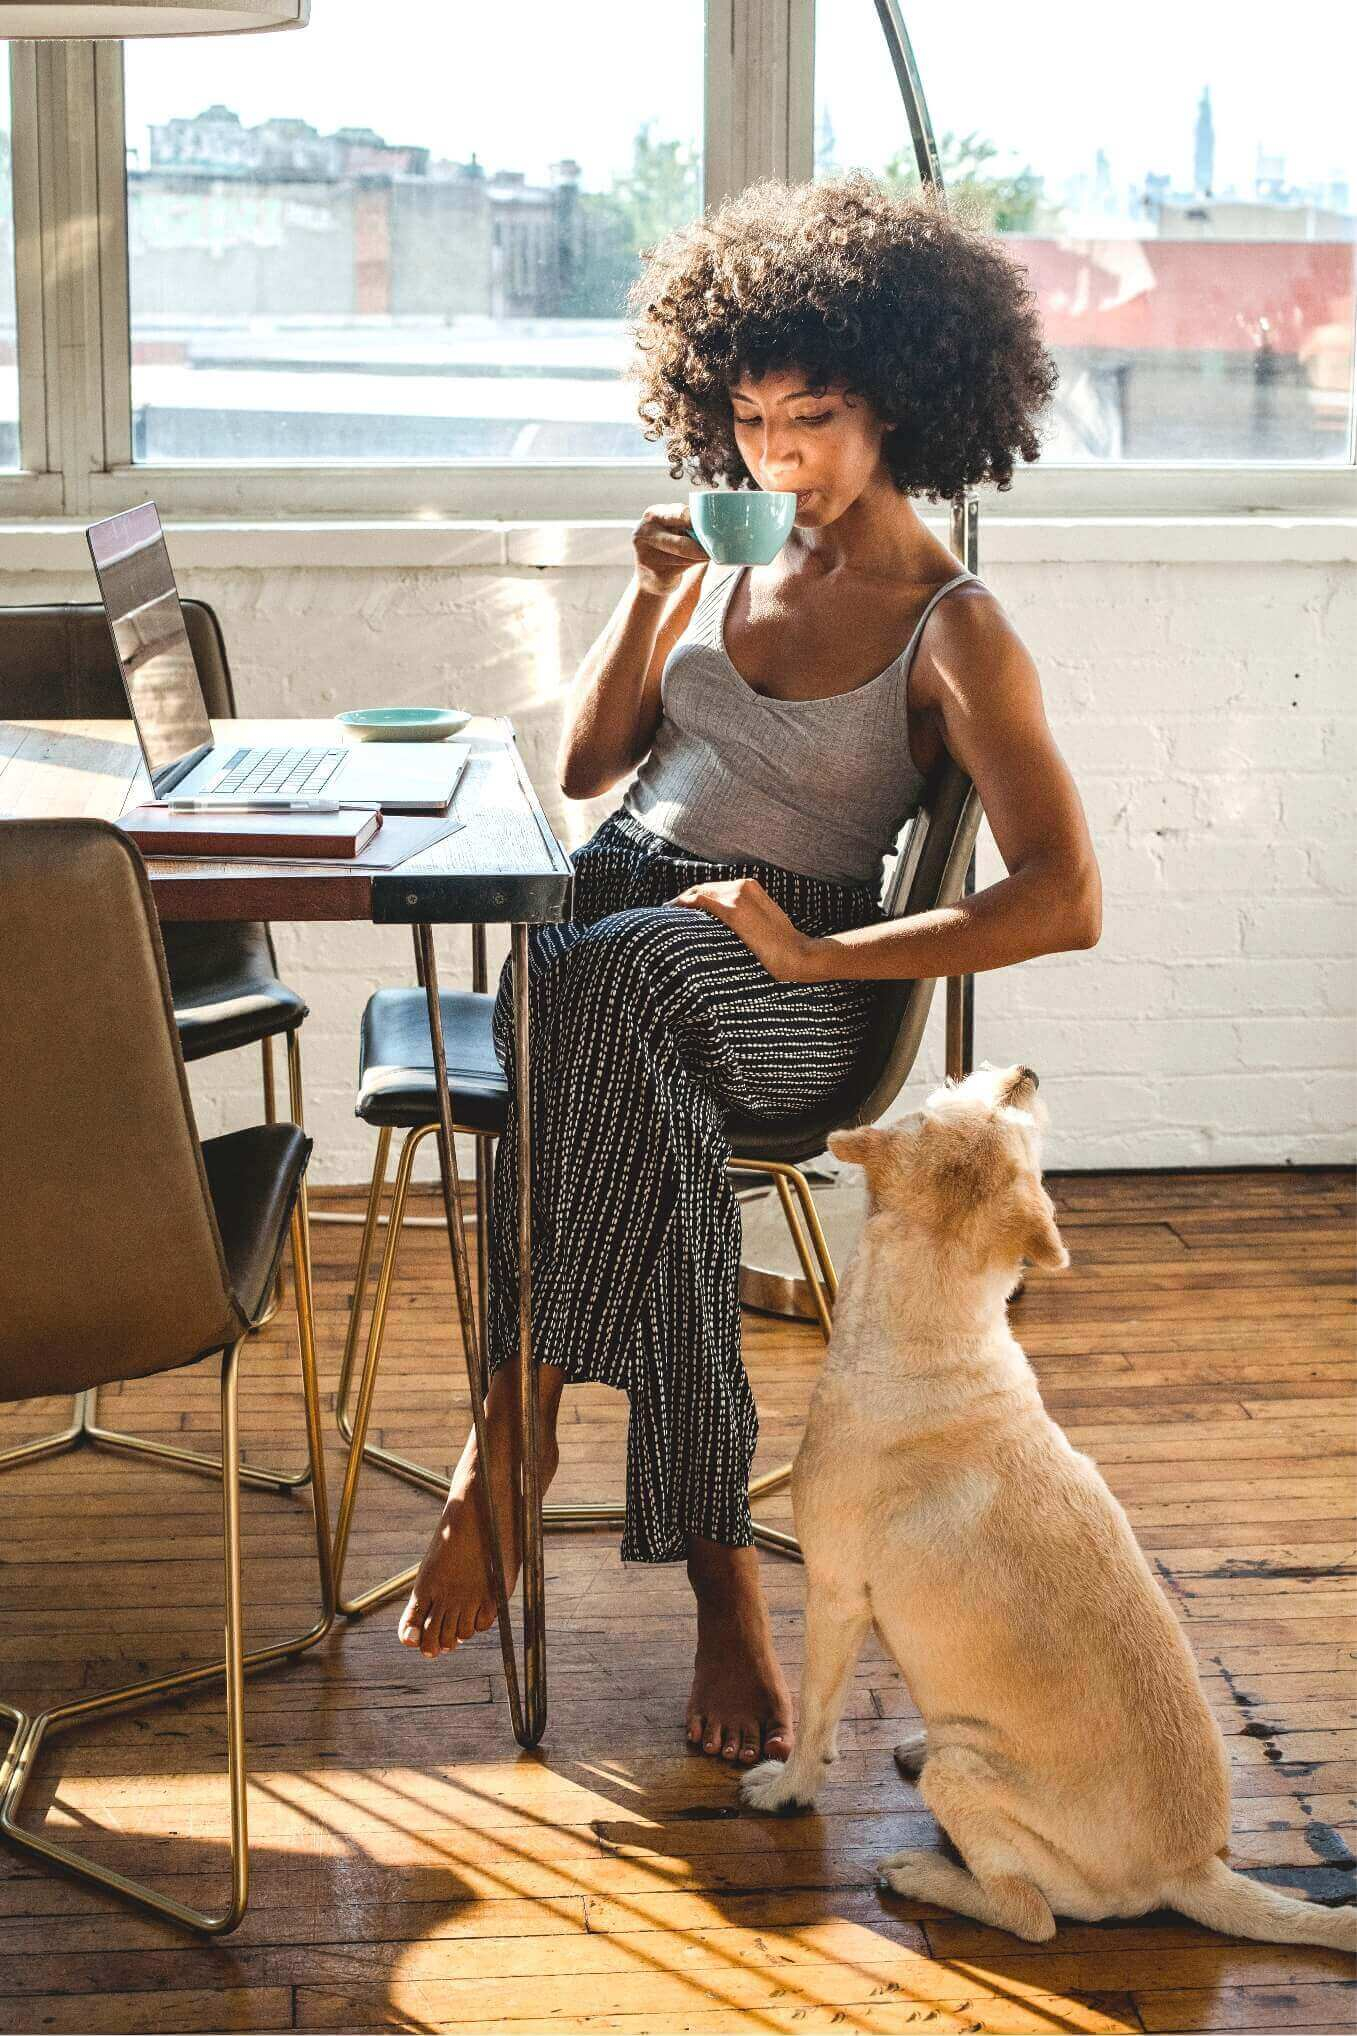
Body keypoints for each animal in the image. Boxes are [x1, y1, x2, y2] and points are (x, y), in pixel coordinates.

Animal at [744, 1058, 1357, 1946]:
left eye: (962, 1093)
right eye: (986, 1100)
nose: (1026, 1071)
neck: (936, 1337)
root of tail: (1190, 1870)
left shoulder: (832, 1595)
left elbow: (816, 1716)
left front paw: (787, 1789)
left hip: (968, 1780)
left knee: (1030, 1915)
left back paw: (927, 1874)